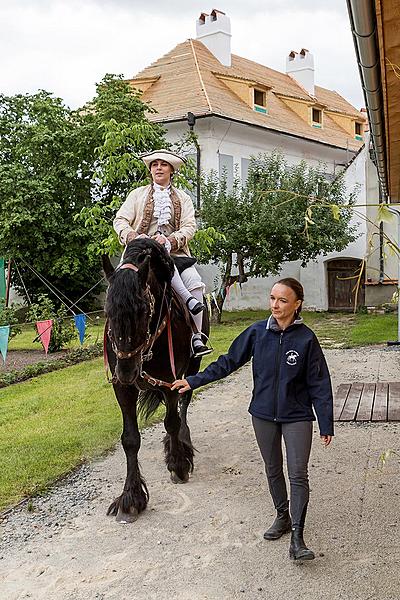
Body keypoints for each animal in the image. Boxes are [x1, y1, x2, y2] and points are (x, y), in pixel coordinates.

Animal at [101, 238, 208, 520]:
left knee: (184, 404)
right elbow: (130, 439)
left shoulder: (170, 382)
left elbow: (171, 421)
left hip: (192, 368)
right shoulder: (123, 389)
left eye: (143, 309)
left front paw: (179, 464)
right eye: (107, 310)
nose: (127, 371)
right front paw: (131, 497)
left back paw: (182, 443)